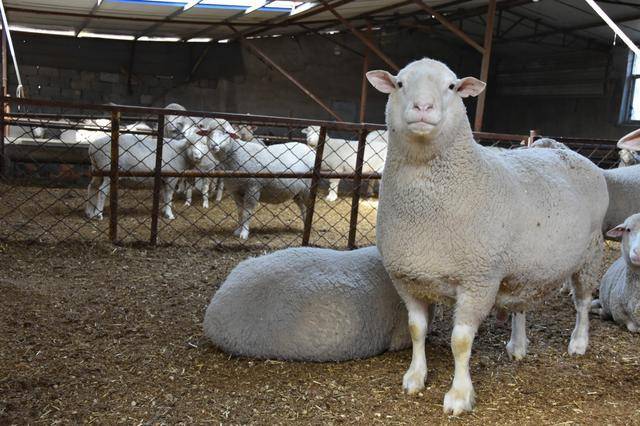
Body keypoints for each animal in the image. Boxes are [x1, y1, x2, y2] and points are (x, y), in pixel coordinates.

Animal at [84, 118, 226, 221]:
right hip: (108, 169)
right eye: (190, 144)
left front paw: (163, 211)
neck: (181, 152)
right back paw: (98, 214)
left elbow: (164, 196)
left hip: (97, 169)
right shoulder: (171, 177)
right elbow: (169, 195)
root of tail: (93, 146)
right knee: (102, 191)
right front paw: (169, 214)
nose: (197, 156)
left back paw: (89, 212)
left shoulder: (164, 178)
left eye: (204, 144)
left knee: (92, 187)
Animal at [368, 58, 608, 414]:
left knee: (582, 302)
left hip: (590, 251)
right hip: (525, 265)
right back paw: (518, 345)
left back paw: (578, 342)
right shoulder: (407, 278)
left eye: (452, 86)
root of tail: (563, 148)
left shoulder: (478, 279)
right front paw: (415, 377)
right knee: (523, 303)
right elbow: (416, 330)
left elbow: (460, 341)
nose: (423, 107)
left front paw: (459, 395)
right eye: (399, 83)